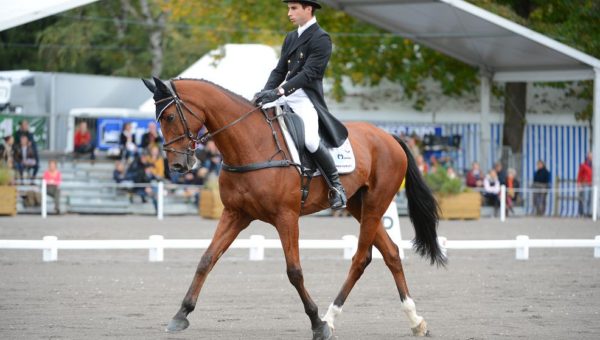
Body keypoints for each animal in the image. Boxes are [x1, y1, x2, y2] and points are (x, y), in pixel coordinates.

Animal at [142, 77, 446, 340]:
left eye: (170, 117)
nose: (178, 165)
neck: (251, 143)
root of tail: (390, 136)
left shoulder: (286, 217)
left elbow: (294, 271)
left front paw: (316, 323)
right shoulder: (236, 214)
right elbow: (207, 259)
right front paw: (181, 314)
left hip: (375, 204)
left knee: (361, 258)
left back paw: (330, 318)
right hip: (359, 205)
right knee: (391, 253)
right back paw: (415, 320)